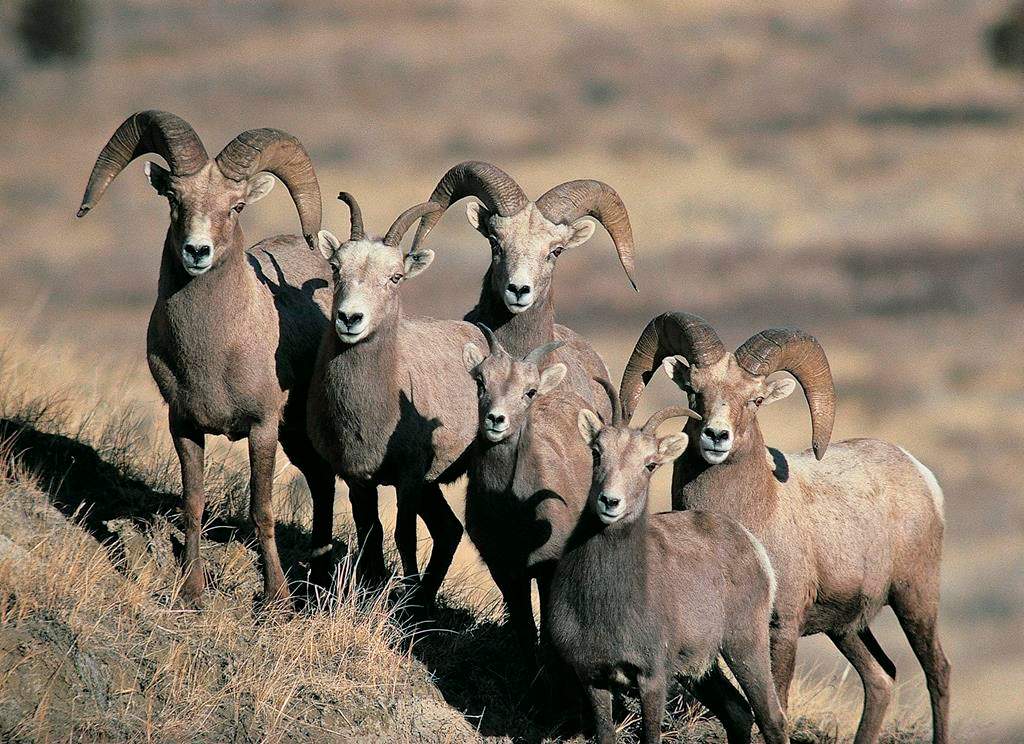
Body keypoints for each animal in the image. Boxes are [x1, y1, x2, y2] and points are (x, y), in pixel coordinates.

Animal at [75, 110, 379, 605]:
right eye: (174, 198)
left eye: (236, 206)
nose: (197, 252)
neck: (214, 351)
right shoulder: (184, 425)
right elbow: (193, 504)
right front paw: (192, 591)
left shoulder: (261, 429)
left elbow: (262, 510)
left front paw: (275, 599)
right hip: (296, 437)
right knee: (321, 484)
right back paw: (316, 574)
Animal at [307, 193, 486, 607]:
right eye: (336, 267)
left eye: (395, 277)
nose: (350, 318)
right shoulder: (359, 478)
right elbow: (369, 532)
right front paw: (373, 588)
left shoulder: (409, 477)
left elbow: (404, 536)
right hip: (431, 487)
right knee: (449, 530)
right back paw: (425, 600)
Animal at [461, 324, 593, 657]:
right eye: (480, 381)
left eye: (529, 392)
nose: (496, 420)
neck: (511, 513)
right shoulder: (505, 571)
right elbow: (525, 631)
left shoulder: (548, 569)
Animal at [548, 399, 788, 744]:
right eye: (596, 452)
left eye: (650, 465)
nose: (610, 502)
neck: (606, 603)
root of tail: (752, 546)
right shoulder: (594, 678)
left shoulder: (652, 678)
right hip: (701, 670)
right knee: (738, 711)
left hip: (745, 646)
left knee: (771, 718)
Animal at [619, 312, 950, 744]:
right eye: (693, 391)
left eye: (756, 400)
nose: (716, 436)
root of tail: (919, 472)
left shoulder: (781, 629)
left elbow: (774, 710)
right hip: (846, 629)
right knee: (881, 678)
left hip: (915, 599)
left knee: (937, 673)